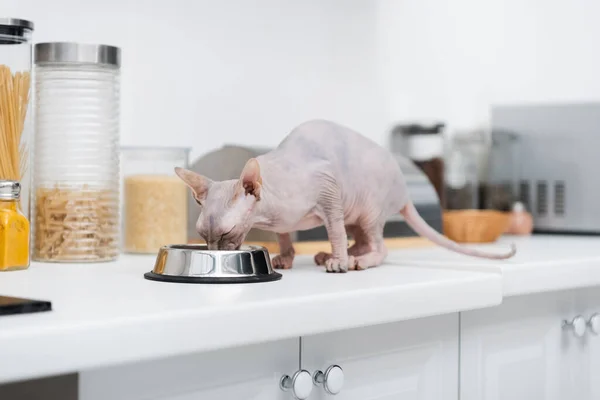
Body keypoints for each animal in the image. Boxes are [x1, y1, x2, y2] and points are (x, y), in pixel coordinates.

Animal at [175, 119, 516, 274]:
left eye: (227, 232)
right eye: (203, 235)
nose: (215, 253)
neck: (269, 212)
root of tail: (406, 187)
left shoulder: (329, 194)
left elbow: (334, 230)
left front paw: (338, 261)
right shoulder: (286, 221)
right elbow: (286, 237)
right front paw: (286, 257)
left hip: (369, 209)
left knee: (379, 246)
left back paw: (356, 260)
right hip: (356, 212)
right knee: (362, 238)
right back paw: (340, 254)